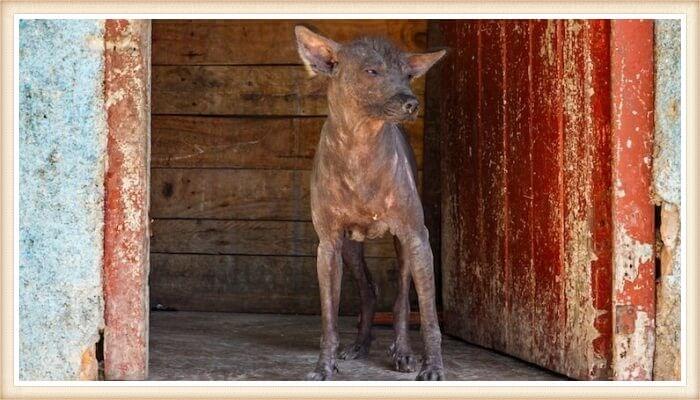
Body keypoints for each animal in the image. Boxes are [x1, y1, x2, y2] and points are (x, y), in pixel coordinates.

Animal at [294, 25, 446, 382]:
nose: (411, 103)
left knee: (402, 299)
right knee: (369, 289)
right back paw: (360, 345)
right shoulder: (328, 244)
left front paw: (432, 367)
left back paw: (402, 351)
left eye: (408, 74)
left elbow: (428, 316)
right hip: (350, 248)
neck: (359, 148)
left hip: (404, 246)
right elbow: (329, 319)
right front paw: (324, 366)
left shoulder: (417, 236)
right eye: (371, 71)